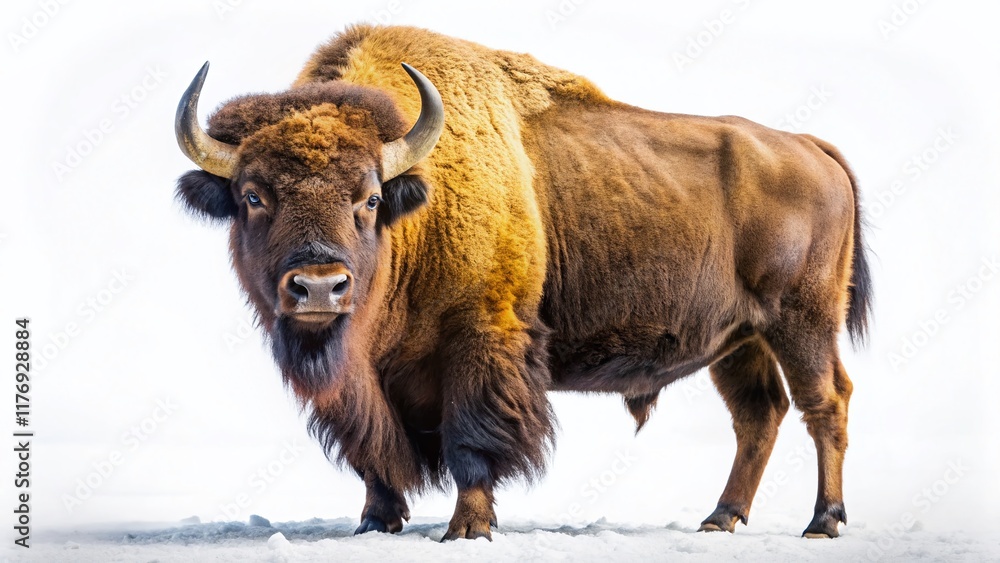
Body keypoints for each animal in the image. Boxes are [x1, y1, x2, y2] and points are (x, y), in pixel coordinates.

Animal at [174, 24, 871, 540]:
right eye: (252, 196)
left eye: (369, 198)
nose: (320, 287)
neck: (417, 207)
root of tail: (809, 146)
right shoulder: (359, 380)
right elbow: (373, 449)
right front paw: (375, 523)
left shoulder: (482, 339)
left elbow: (473, 440)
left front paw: (468, 529)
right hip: (738, 339)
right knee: (760, 413)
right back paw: (720, 519)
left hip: (802, 321)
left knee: (825, 402)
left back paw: (822, 522)